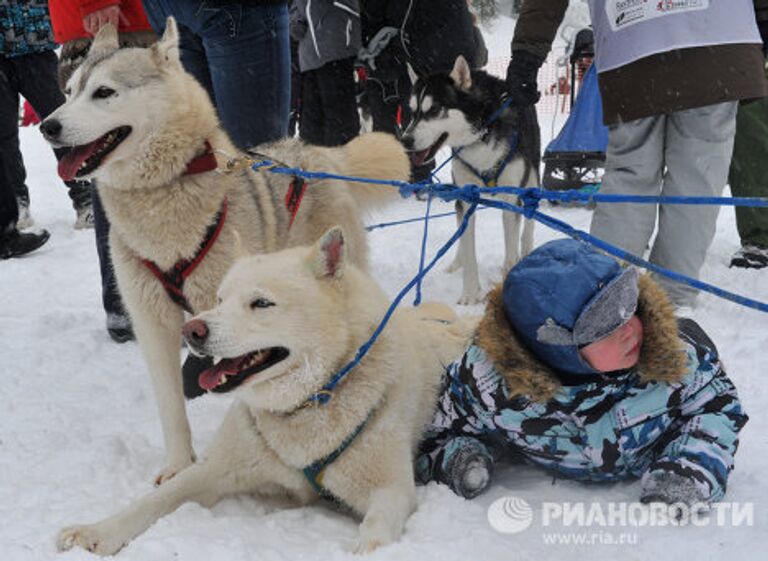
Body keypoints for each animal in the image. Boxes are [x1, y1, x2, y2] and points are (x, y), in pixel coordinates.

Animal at [41, 20, 412, 482]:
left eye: (104, 92)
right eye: (70, 90)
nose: (48, 126)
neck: (160, 200)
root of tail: (314, 152)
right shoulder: (153, 321)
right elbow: (170, 405)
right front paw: (178, 466)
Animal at [57, 226, 472, 552]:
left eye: (261, 303)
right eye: (219, 299)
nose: (191, 331)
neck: (306, 404)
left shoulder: (392, 490)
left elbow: (374, 532)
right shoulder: (217, 469)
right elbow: (154, 500)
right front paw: (97, 531)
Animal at [402, 57, 540, 304]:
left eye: (434, 109)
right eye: (412, 111)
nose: (405, 140)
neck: (480, 135)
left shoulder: (511, 198)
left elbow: (511, 243)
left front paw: (509, 272)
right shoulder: (466, 197)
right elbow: (468, 249)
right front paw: (469, 293)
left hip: (531, 182)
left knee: (528, 222)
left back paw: (525, 252)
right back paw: (456, 261)